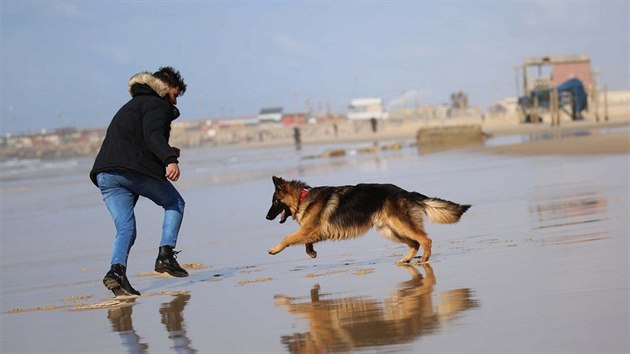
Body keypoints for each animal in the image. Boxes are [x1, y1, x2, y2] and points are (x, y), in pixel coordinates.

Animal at [264, 176, 472, 262]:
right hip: (391, 231)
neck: (302, 197)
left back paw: (425, 258)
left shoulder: (308, 230)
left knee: (425, 239)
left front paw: (274, 249)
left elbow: (288, 238)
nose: (266, 217)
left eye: (275, 202)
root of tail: (404, 192)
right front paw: (311, 252)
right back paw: (406, 259)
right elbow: (307, 242)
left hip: (400, 226)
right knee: (415, 243)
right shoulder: (312, 231)